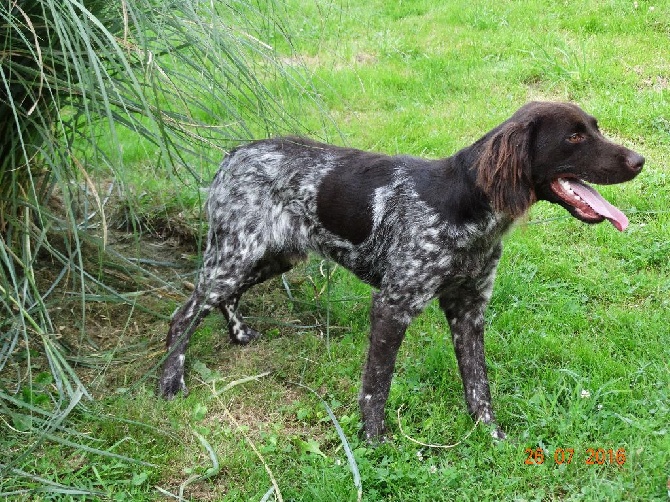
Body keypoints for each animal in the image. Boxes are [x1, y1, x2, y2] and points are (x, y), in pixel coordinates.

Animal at [161, 101, 644, 440]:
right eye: (575, 136)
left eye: (594, 128)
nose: (640, 160)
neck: (467, 208)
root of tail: (233, 154)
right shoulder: (393, 306)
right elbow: (377, 386)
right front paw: (372, 443)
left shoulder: (469, 309)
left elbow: (478, 386)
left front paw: (490, 436)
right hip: (235, 255)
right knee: (184, 314)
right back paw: (170, 380)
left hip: (271, 255)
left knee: (225, 297)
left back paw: (238, 334)